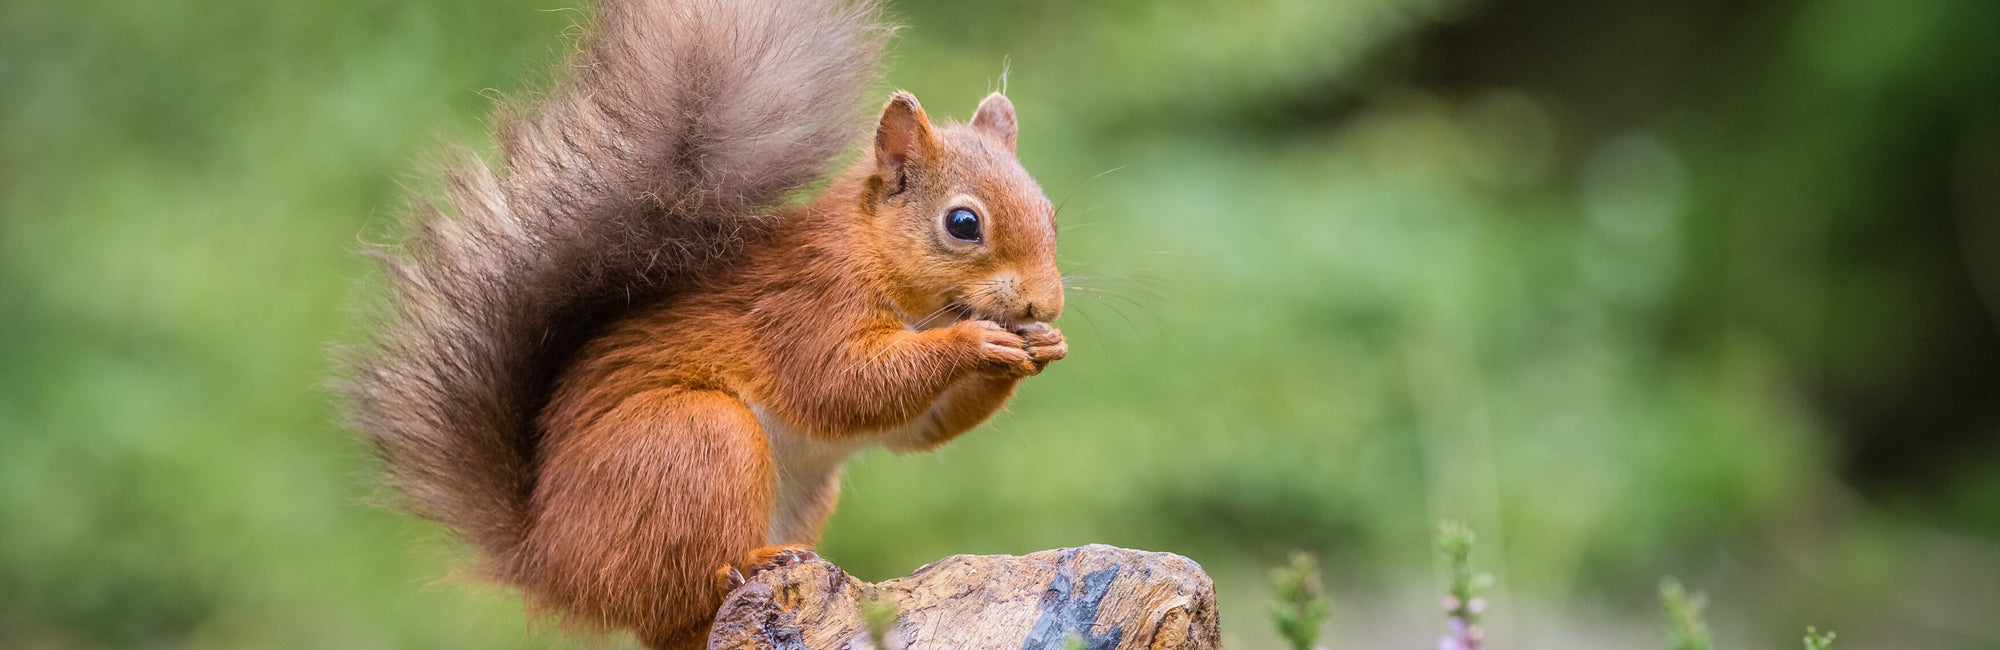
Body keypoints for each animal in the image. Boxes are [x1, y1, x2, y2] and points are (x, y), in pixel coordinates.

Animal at [337, 0, 1065, 647]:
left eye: (1051, 211)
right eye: (962, 223)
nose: (1046, 306)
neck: (880, 263)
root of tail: (548, 559)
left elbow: (921, 426)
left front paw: (1041, 347)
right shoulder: (805, 310)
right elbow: (844, 385)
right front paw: (975, 341)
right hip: (696, 444)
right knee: (682, 595)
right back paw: (750, 563)